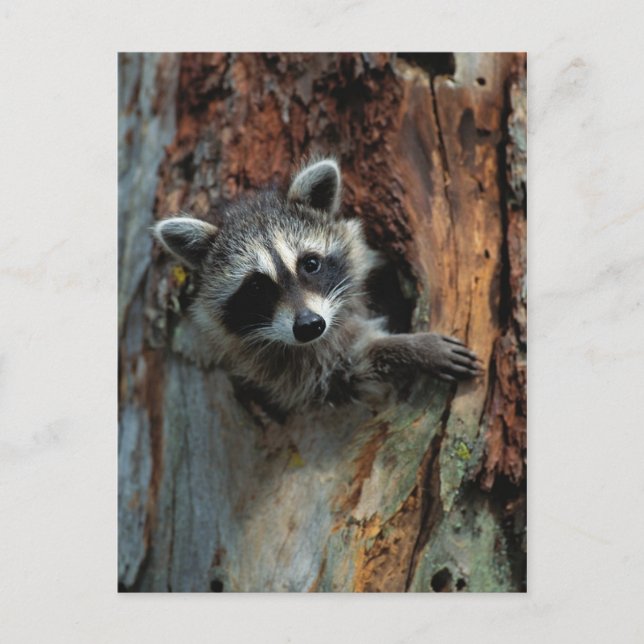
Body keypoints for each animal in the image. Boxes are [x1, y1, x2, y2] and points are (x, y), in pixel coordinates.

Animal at [154, 158, 480, 413]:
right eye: (256, 287)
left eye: (310, 264)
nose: (309, 325)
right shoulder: (287, 371)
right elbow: (351, 370)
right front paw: (411, 348)